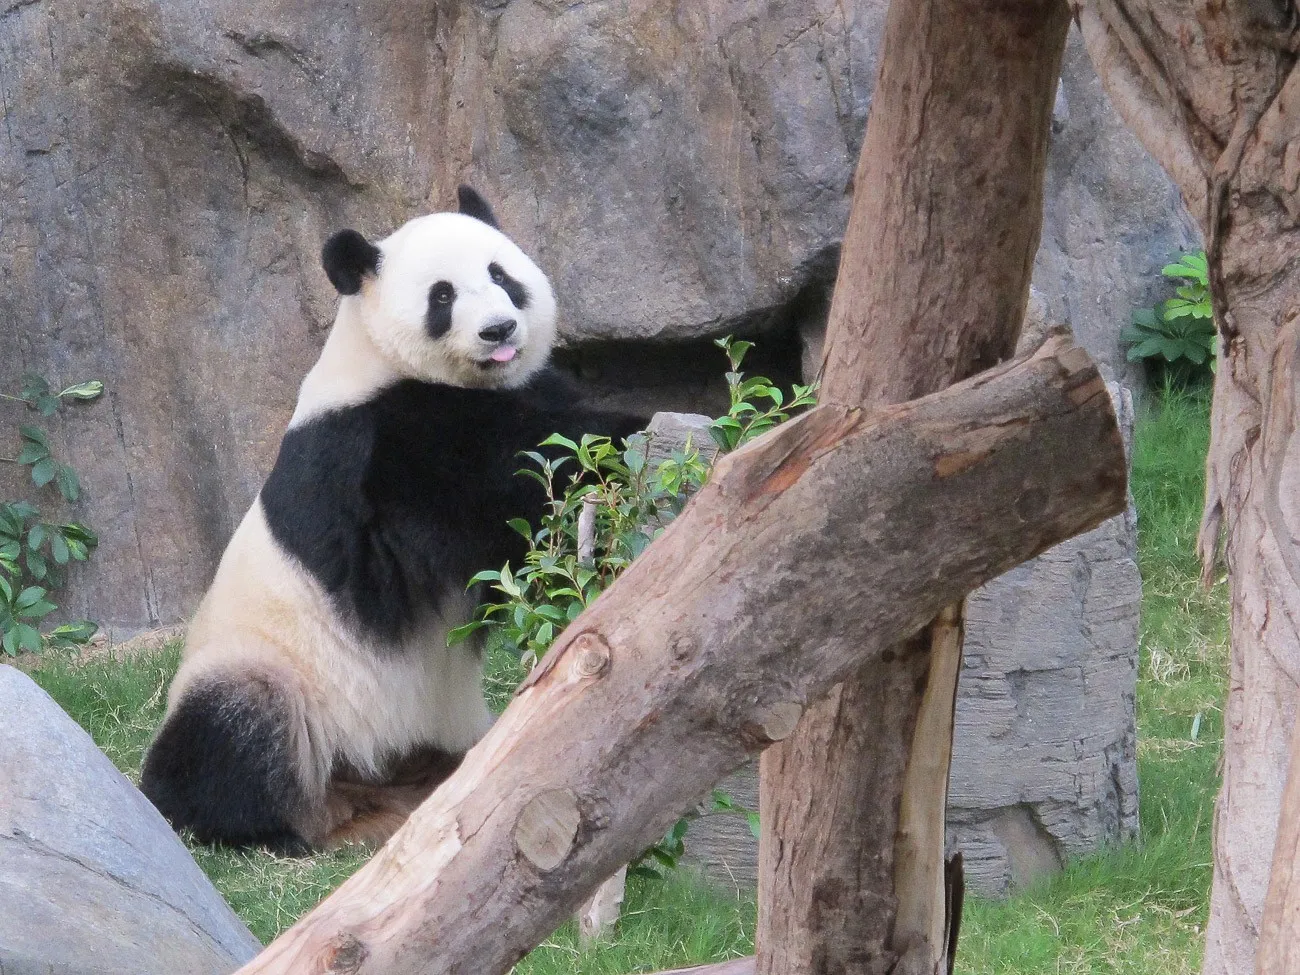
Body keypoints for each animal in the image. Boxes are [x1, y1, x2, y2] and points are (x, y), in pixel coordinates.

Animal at [139, 187, 645, 854]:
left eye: (500, 275)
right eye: (442, 296)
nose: (499, 330)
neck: (379, 359)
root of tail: (359, 794)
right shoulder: (378, 446)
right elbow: (495, 488)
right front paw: (641, 430)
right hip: (276, 674)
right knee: (231, 727)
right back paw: (256, 827)